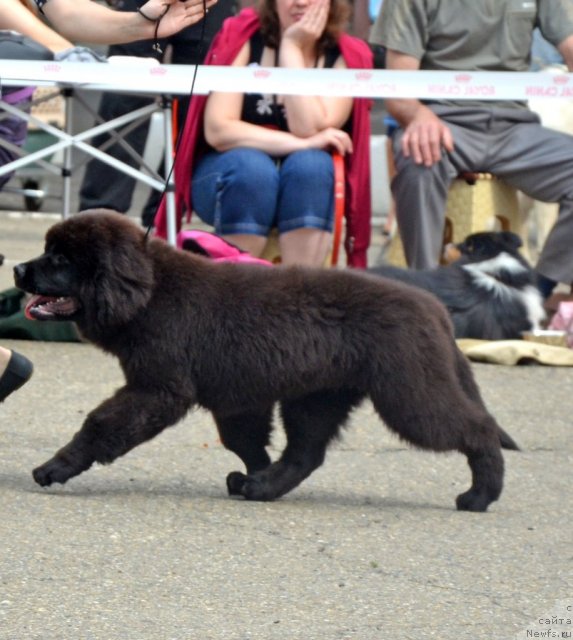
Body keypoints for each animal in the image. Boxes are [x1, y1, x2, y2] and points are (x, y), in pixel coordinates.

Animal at [13, 212, 516, 512]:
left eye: (60, 259)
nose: (17, 269)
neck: (151, 293)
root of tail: (436, 310)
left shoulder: (158, 389)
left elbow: (101, 425)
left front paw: (54, 468)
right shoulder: (235, 397)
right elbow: (245, 440)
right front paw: (252, 473)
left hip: (408, 391)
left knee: (478, 428)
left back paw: (480, 495)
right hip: (318, 396)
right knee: (306, 452)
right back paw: (262, 488)